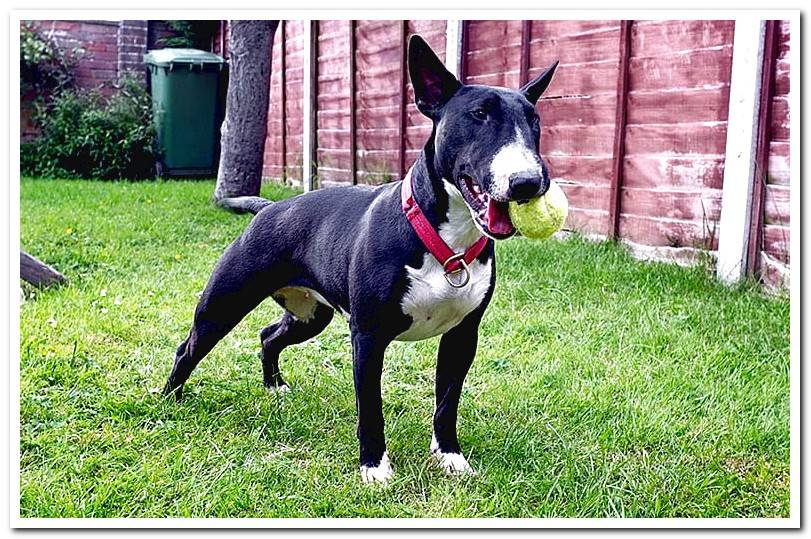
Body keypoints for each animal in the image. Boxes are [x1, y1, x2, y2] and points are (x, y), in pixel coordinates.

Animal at [165, 37, 560, 486]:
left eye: (534, 120)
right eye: (479, 115)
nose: (529, 183)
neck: (444, 238)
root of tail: (270, 207)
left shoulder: (463, 336)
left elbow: (447, 403)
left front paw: (451, 457)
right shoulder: (368, 336)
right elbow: (370, 408)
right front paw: (374, 467)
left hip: (311, 314)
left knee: (269, 336)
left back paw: (275, 388)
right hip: (225, 301)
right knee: (188, 347)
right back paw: (169, 401)